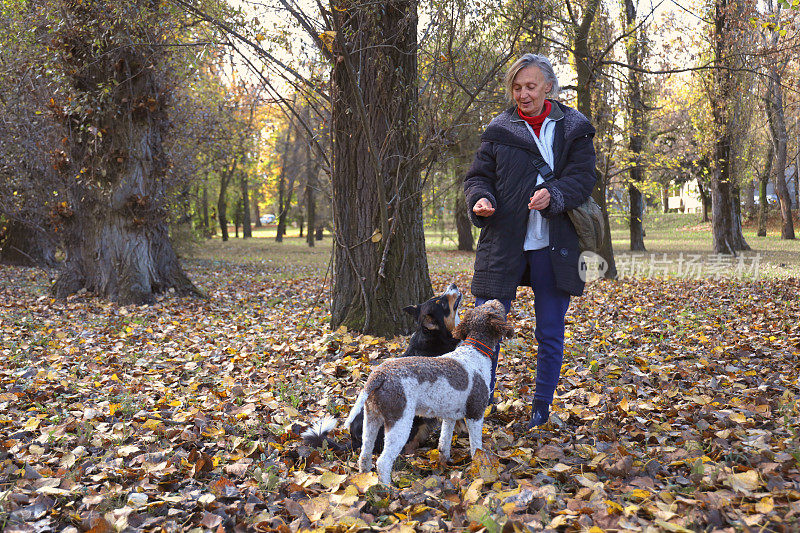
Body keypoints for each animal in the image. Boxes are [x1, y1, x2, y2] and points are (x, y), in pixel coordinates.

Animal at [348, 302, 512, 484]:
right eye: (495, 308)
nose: (497, 300)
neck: (475, 351)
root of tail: (379, 376)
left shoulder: (450, 417)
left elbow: (444, 443)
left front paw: (445, 463)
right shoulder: (475, 414)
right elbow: (476, 447)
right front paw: (480, 467)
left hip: (372, 419)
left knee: (364, 454)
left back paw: (364, 479)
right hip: (400, 422)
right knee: (383, 462)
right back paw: (387, 487)